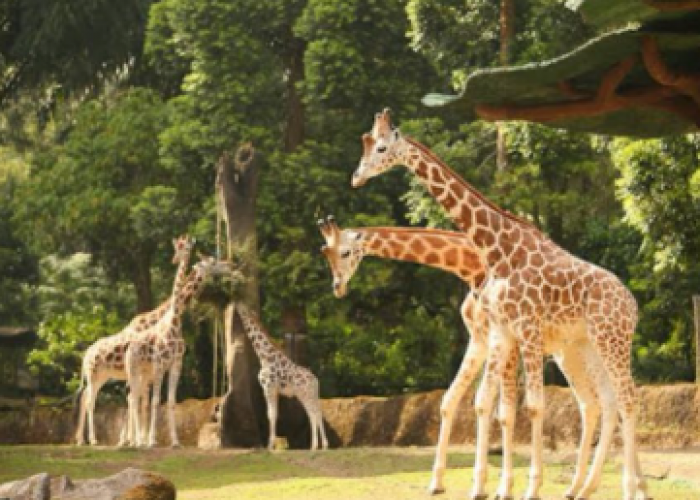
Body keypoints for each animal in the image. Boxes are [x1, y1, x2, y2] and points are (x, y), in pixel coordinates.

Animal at [74, 236, 196, 448]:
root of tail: (85, 355)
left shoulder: (168, 367)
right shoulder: (155, 368)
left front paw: (162, 440)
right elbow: (147, 401)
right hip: (96, 374)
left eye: (186, 247)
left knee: (89, 398)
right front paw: (143, 440)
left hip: (103, 376)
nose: (174, 259)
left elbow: (157, 401)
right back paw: (94, 439)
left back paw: (83, 439)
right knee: (91, 401)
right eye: (177, 247)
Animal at [123, 254, 227, 450]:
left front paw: (175, 442)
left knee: (135, 397)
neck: (175, 320)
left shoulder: (176, 364)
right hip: (133, 369)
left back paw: (135, 440)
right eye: (213, 261)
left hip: (144, 373)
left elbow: (171, 401)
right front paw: (152, 441)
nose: (228, 264)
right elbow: (156, 401)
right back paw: (135, 441)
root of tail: (129, 346)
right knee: (133, 398)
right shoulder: (160, 365)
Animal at [232, 302, 326, 452]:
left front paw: (270, 446)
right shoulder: (274, 390)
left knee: (314, 413)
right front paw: (273, 445)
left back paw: (316, 445)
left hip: (306, 394)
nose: (235, 304)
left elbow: (271, 415)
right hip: (308, 395)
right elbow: (274, 414)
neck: (264, 357)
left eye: (242, 307)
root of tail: (315, 380)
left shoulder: (268, 388)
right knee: (315, 413)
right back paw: (321, 445)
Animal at [350, 110, 652, 500]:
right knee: (602, 401)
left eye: (381, 148)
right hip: (586, 346)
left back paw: (630, 488)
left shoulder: (525, 328)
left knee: (627, 399)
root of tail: (632, 303)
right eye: (368, 144)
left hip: (612, 339)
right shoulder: (503, 332)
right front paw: (496, 486)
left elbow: (531, 406)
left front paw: (526, 487)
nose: (357, 177)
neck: (497, 249)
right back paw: (585, 487)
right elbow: (495, 406)